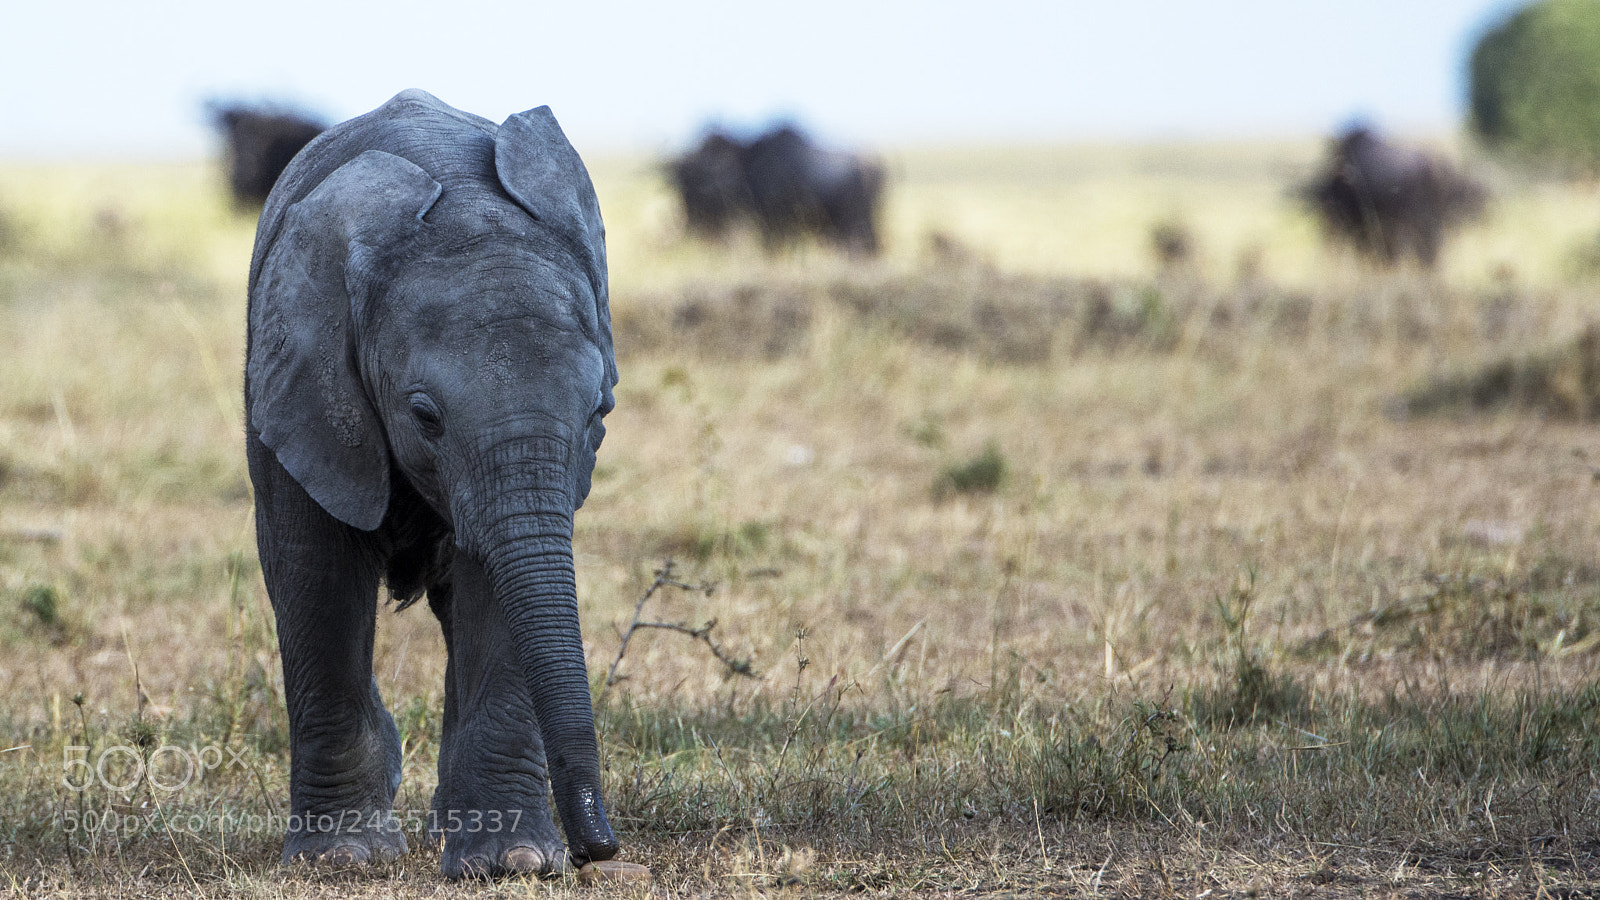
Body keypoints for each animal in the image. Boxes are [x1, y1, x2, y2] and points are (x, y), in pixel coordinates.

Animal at [244, 89, 619, 879]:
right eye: (424, 416)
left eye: (599, 411)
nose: (597, 849)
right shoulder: (299, 382)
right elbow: (316, 577)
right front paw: (341, 860)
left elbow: (500, 588)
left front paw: (512, 862)